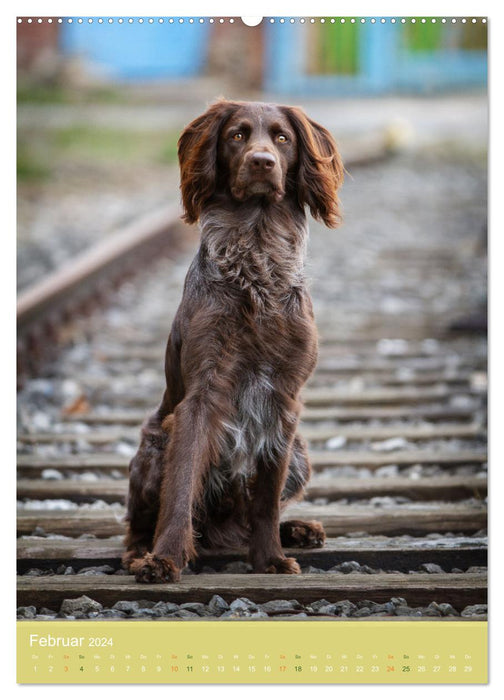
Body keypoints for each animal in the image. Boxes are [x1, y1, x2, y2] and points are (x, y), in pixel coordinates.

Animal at [123, 97, 342, 580]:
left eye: (282, 138)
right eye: (237, 135)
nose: (262, 162)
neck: (257, 260)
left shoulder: (284, 400)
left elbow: (266, 501)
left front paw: (271, 559)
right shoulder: (202, 394)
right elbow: (181, 486)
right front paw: (165, 559)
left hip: (301, 454)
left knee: (253, 515)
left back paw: (298, 530)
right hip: (153, 446)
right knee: (136, 523)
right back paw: (138, 552)